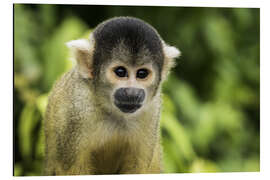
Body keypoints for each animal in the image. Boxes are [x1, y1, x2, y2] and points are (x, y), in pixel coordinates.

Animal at [43, 16, 179, 174]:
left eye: (142, 73)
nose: (132, 93)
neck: (114, 112)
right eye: (120, 72)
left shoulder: (152, 109)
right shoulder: (75, 109)